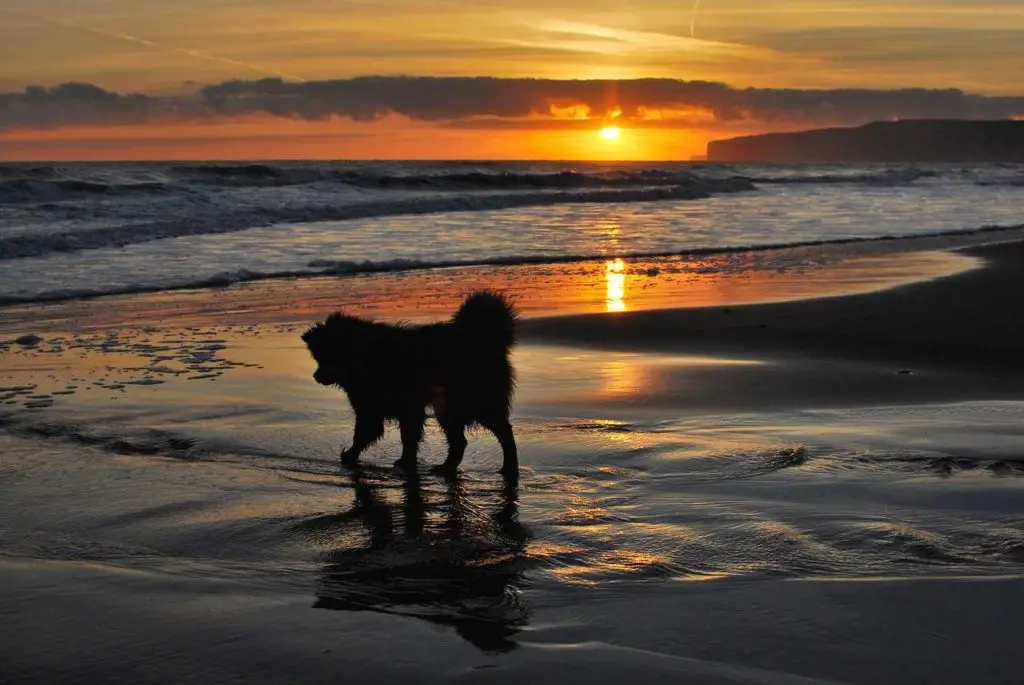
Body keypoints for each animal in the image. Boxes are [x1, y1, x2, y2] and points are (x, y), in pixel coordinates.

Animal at [299, 290, 516, 475]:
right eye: (318, 357)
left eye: (327, 357)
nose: (316, 376)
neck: (366, 356)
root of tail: (482, 337)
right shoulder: (377, 408)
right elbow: (394, 437)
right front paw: (405, 462)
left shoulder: (398, 407)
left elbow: (386, 436)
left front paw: (351, 455)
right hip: (447, 407)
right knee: (459, 441)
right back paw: (446, 467)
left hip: (477, 403)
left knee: (504, 433)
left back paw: (508, 468)